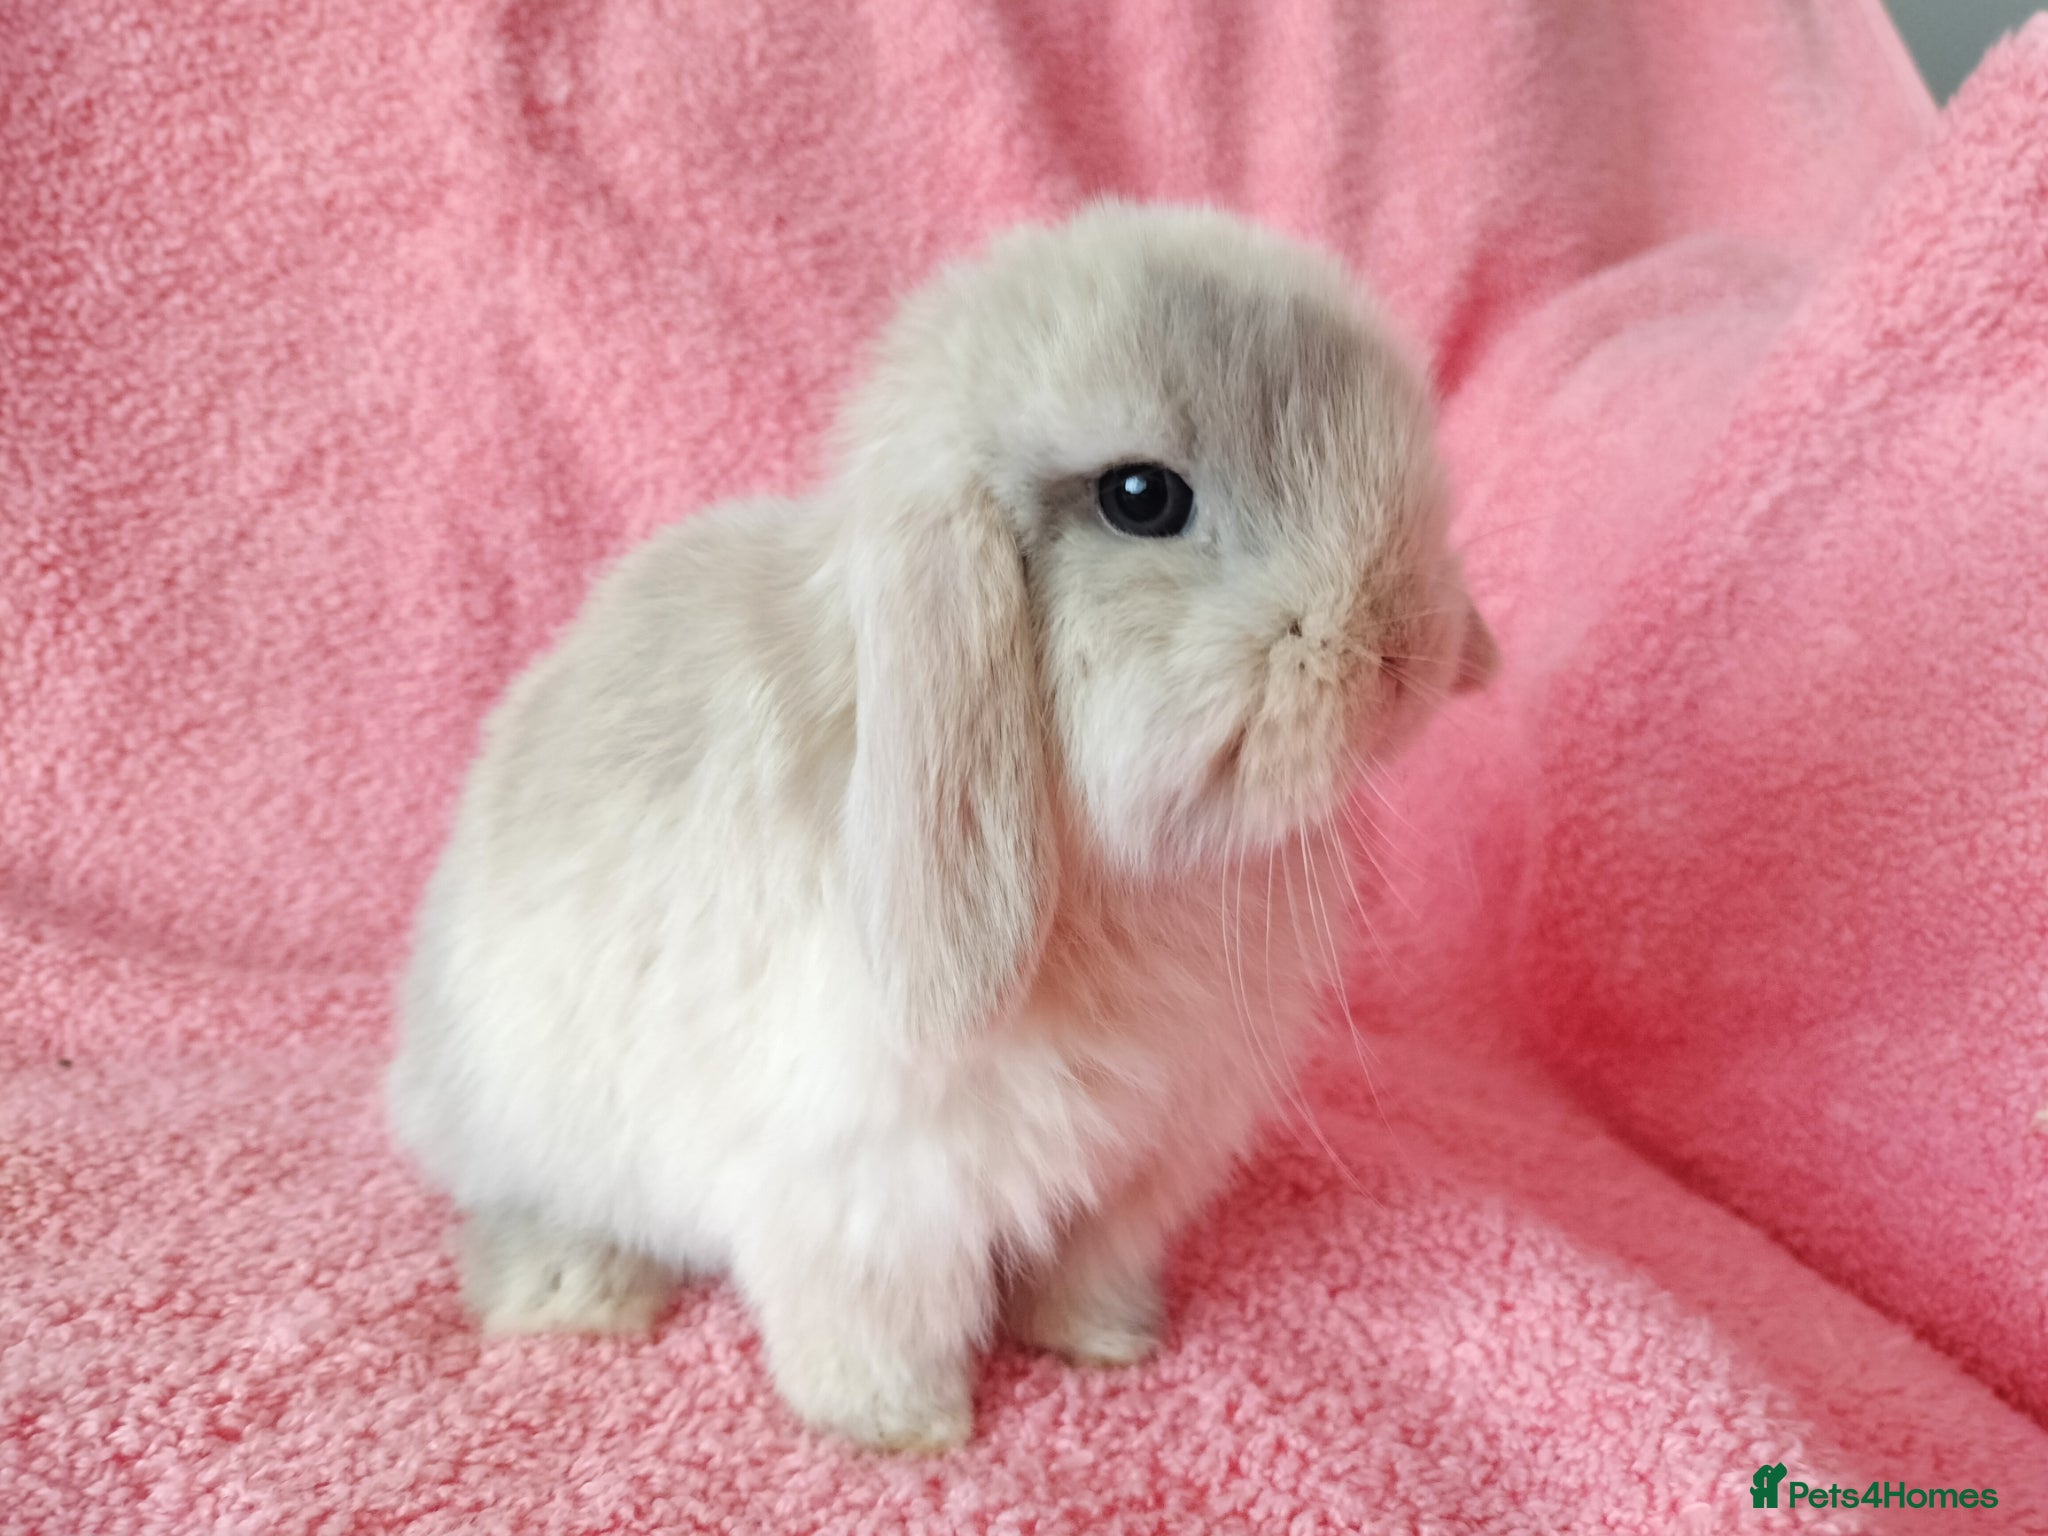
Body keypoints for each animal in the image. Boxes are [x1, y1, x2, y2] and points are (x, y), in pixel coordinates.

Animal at [386, 200, 1499, 1453]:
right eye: (1140, 498)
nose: (1403, 649)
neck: (1126, 878)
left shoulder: (1143, 1163)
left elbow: (1087, 1271)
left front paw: (1107, 1346)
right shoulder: (869, 1194)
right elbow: (872, 1319)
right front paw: (903, 1428)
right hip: (532, 1122)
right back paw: (575, 1295)